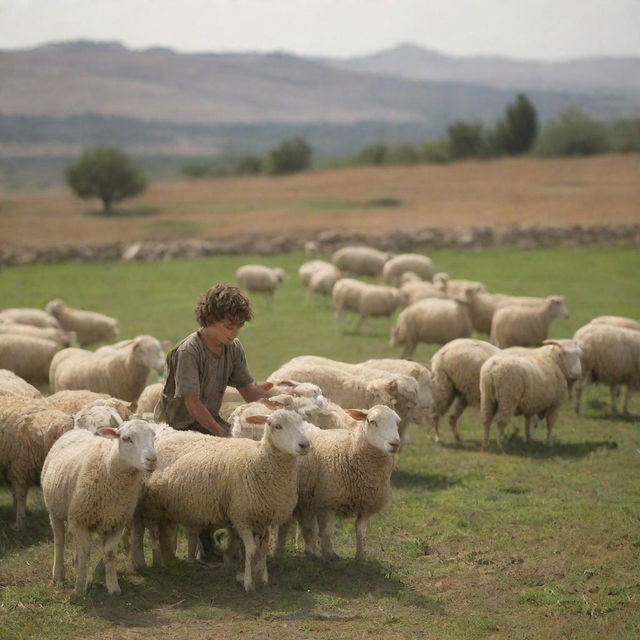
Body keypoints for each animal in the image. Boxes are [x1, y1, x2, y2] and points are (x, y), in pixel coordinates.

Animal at [40, 420, 157, 596]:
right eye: (126, 438)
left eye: (153, 437)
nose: (152, 459)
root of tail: (77, 430)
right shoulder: (80, 519)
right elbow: (85, 553)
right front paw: (80, 588)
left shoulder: (116, 522)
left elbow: (109, 553)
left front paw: (113, 587)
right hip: (55, 510)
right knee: (59, 541)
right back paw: (58, 576)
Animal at [133, 408, 310, 592]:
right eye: (277, 426)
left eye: (302, 423)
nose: (305, 445)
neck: (259, 461)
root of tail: (162, 429)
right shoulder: (241, 517)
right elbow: (251, 550)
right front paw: (248, 582)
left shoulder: (264, 517)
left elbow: (262, 550)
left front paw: (263, 578)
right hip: (146, 503)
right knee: (146, 530)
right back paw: (149, 561)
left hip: (162, 505)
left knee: (162, 529)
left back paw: (168, 559)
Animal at [276, 404, 400, 560]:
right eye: (372, 421)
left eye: (397, 422)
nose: (395, 444)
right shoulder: (327, 502)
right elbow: (327, 532)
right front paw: (329, 555)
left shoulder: (366, 504)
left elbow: (361, 532)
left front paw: (360, 557)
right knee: (287, 525)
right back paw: (280, 551)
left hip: (307, 499)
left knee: (306, 525)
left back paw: (311, 551)